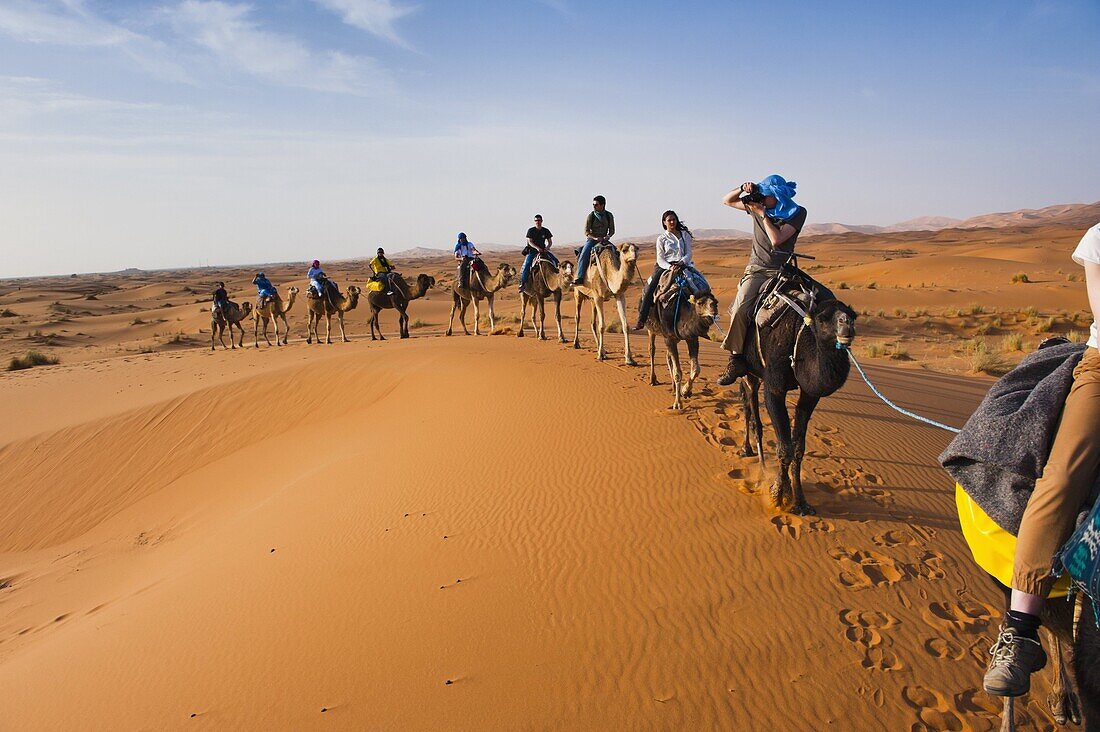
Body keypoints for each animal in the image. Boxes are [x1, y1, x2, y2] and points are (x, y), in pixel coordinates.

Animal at [739, 297, 858, 512]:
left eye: (854, 316)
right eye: (822, 318)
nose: (847, 324)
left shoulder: (810, 395)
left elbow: (797, 449)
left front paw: (801, 502)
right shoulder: (774, 387)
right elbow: (784, 448)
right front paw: (778, 494)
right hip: (750, 370)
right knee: (751, 412)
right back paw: (758, 466)